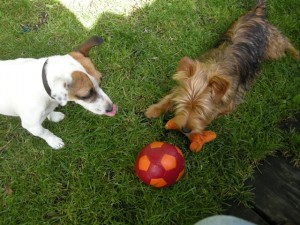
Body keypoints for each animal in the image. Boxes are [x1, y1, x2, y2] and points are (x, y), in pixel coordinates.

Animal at [145, 0, 298, 142]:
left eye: (202, 110)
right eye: (182, 105)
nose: (185, 129)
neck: (214, 68)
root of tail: (257, 13)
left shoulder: (230, 102)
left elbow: (217, 111)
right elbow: (171, 95)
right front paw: (155, 109)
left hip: (272, 47)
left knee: (284, 41)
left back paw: (296, 54)